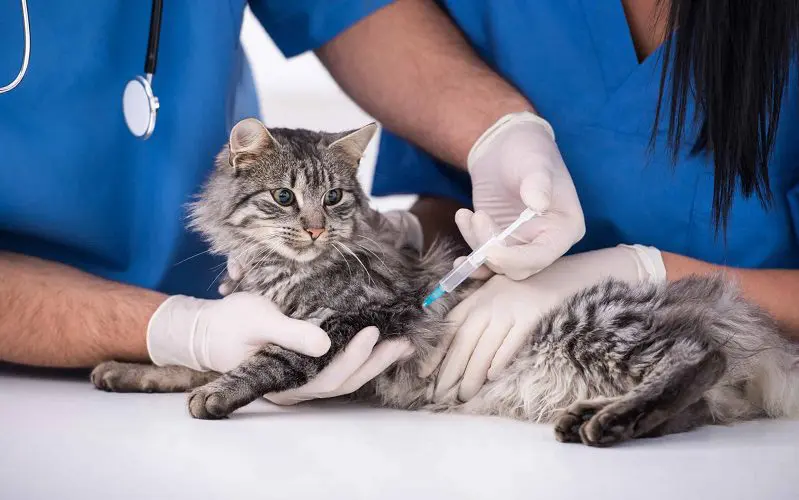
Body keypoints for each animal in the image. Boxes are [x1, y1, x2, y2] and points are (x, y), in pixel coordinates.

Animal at [90, 118, 799, 450]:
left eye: (334, 198)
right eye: (285, 197)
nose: (316, 228)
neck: (280, 272)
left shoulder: (371, 315)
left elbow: (273, 357)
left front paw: (217, 395)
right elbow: (195, 359)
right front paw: (129, 370)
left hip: (595, 325)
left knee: (698, 360)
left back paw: (609, 421)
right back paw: (596, 416)